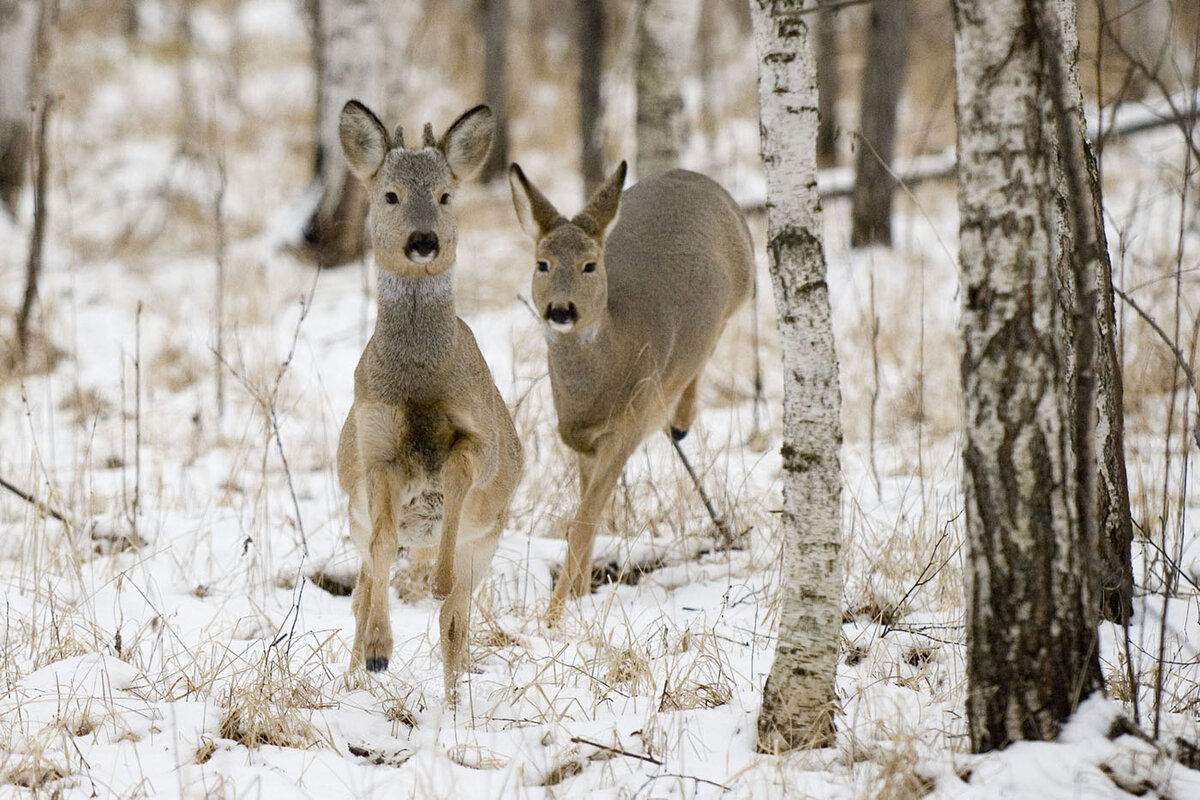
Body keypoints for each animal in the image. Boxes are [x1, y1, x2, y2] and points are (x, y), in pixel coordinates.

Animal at [338, 98, 525, 700]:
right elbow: (380, 549)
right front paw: (379, 652)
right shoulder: (374, 451)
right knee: (360, 590)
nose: (424, 240)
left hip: (489, 538)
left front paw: (437, 581)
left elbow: (459, 474)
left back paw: (454, 698)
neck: (419, 383)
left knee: (457, 621)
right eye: (390, 195)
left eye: (445, 195)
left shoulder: (481, 439)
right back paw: (355, 676)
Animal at [511, 158, 753, 618]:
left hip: (742, 289)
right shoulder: (582, 443)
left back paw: (679, 421)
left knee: (712, 344)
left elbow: (583, 522)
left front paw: (553, 616)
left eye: (589, 265)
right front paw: (578, 597)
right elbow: (587, 517)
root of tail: (698, 177)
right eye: (542, 263)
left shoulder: (626, 428)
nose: (561, 309)